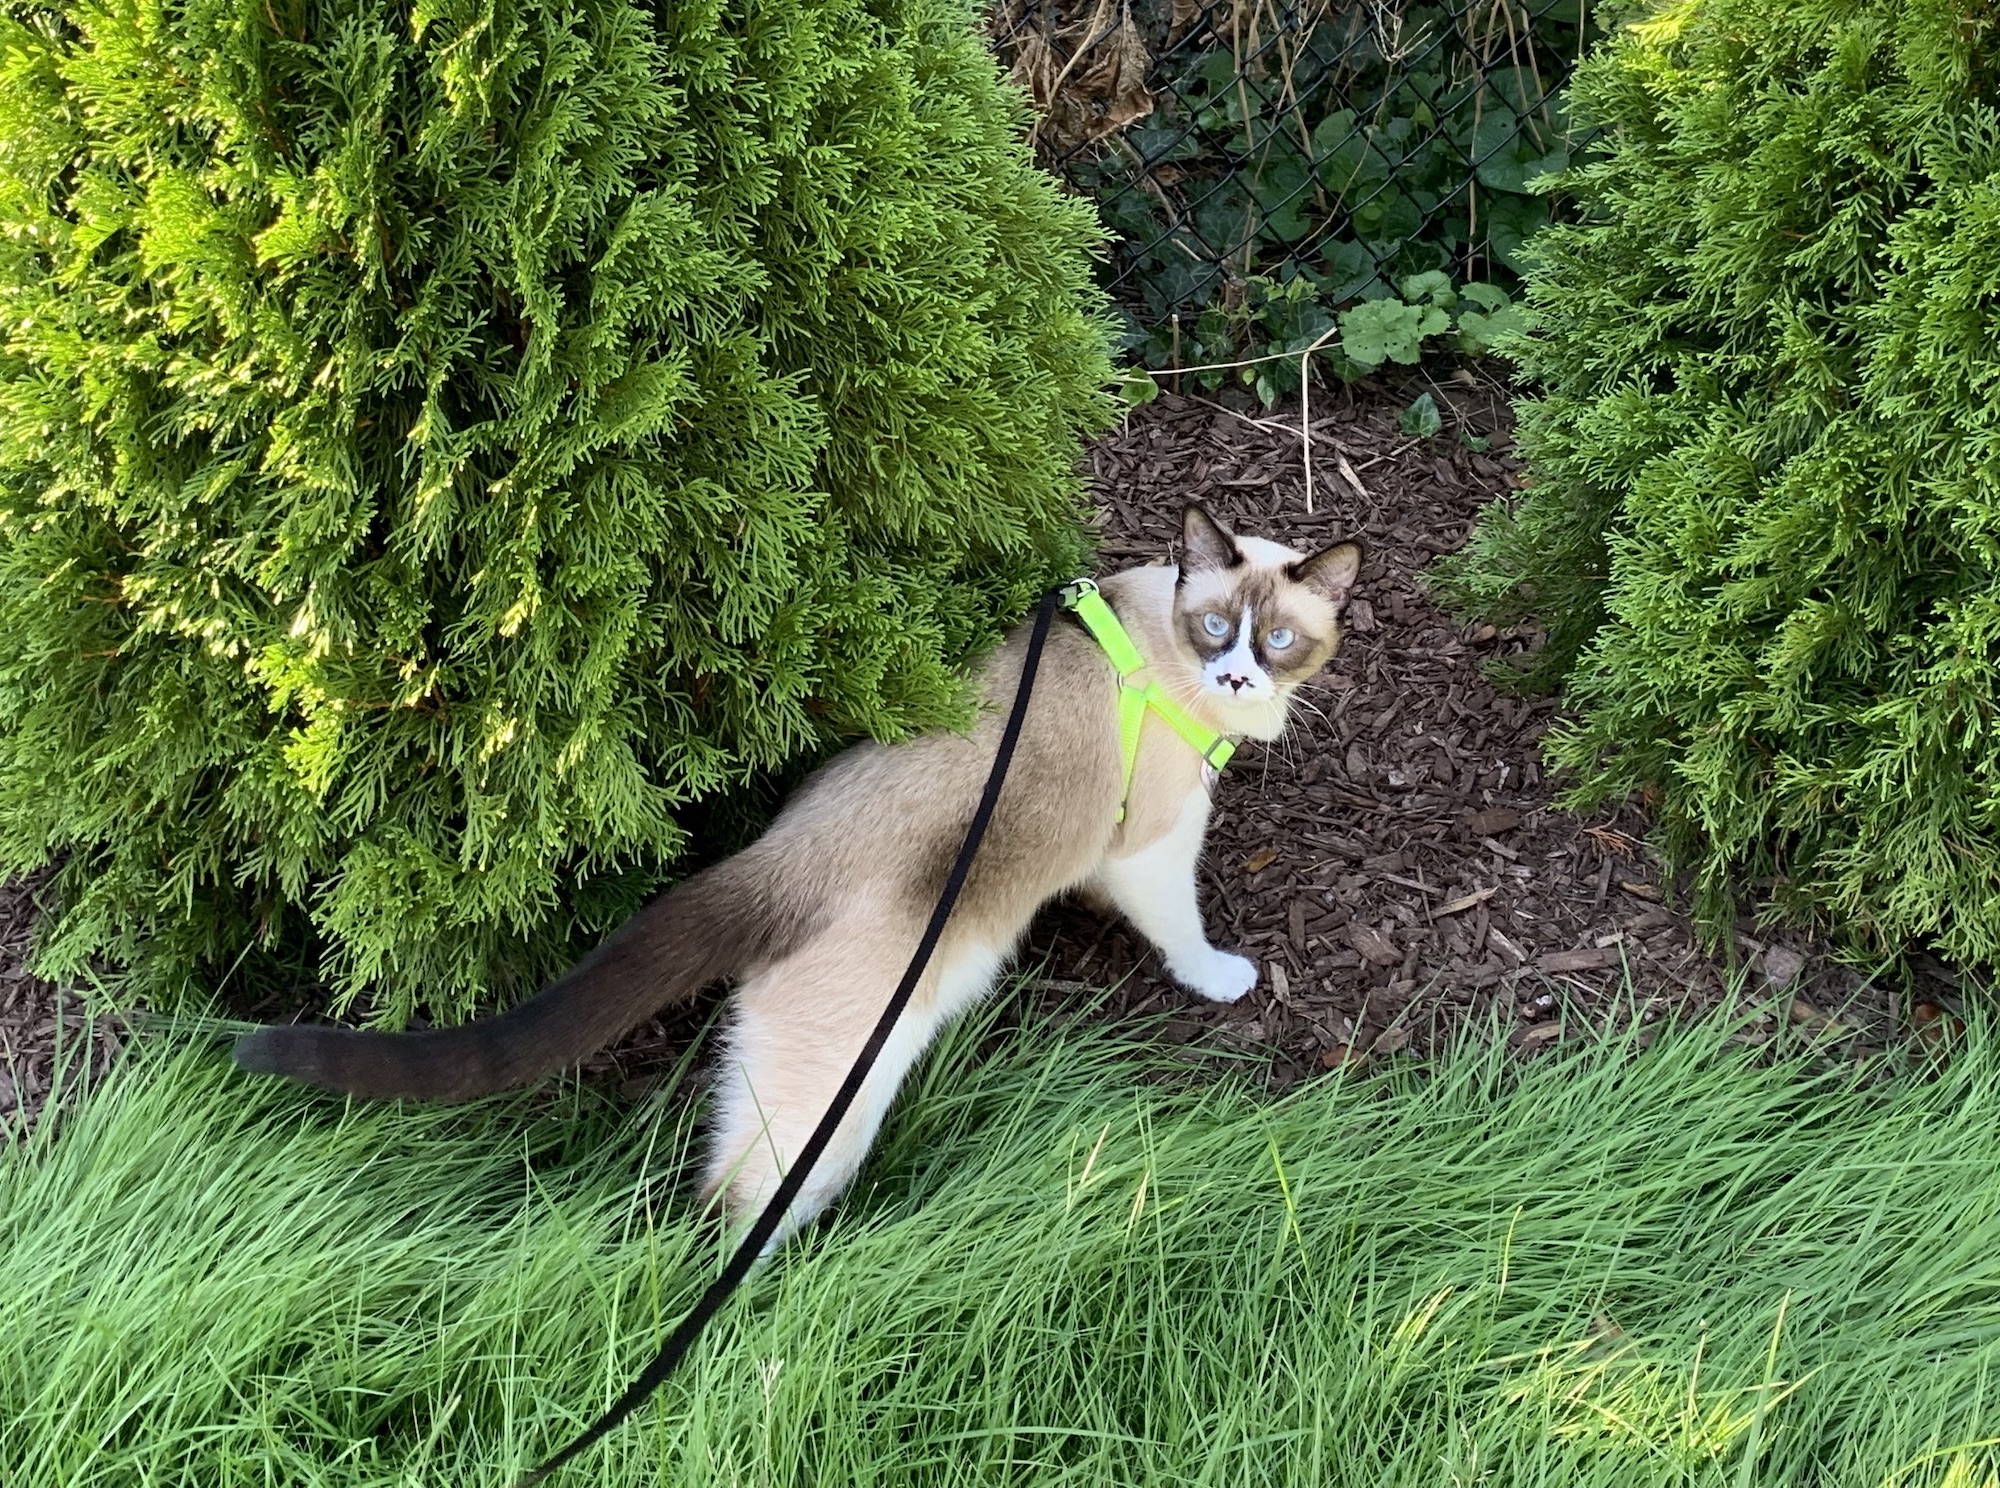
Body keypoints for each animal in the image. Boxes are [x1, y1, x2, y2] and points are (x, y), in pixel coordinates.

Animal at [234, 506, 1360, 1248]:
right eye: (1216, 629)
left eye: (1280, 640)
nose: (1235, 678)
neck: (1159, 638)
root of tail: (779, 860)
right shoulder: (1152, 849)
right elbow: (1182, 932)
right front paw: (1221, 980)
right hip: (830, 1112)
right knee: (737, 1214)